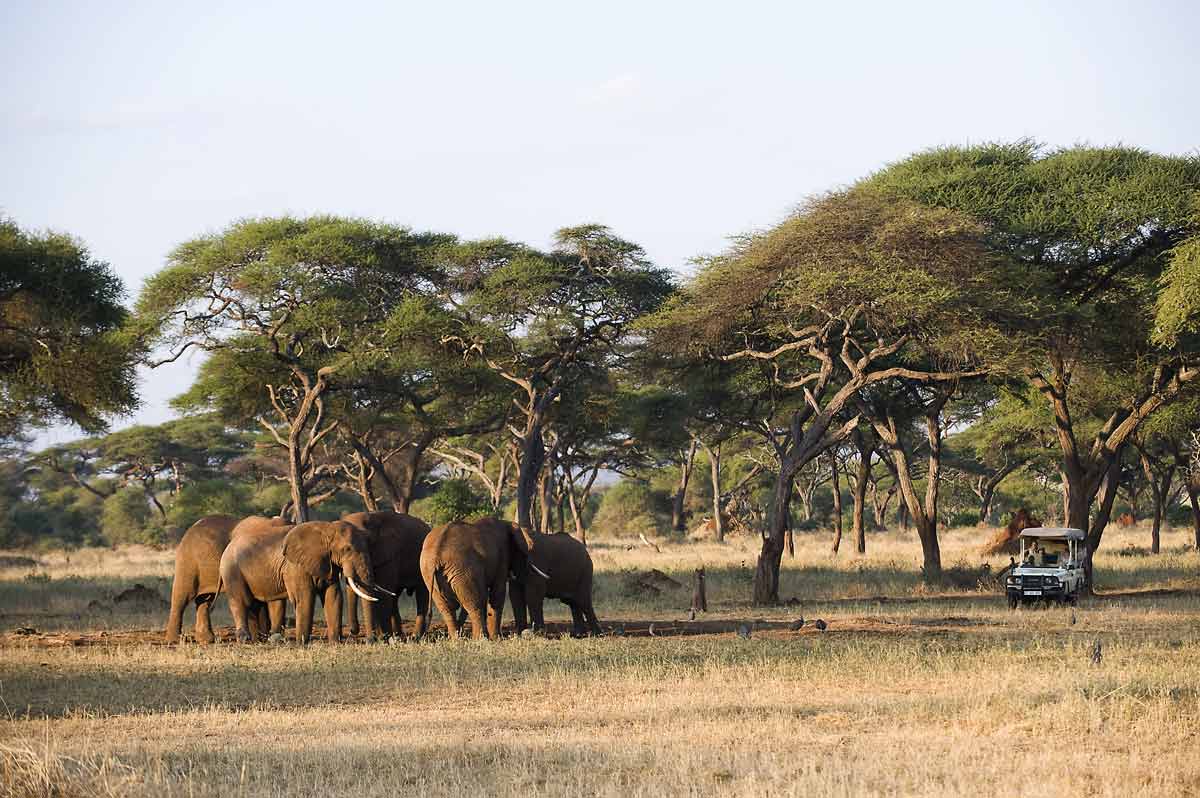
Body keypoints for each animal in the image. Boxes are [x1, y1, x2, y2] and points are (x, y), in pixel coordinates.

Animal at [217, 516, 384, 643]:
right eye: (347, 549)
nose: (371, 641)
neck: (327, 529)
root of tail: (227, 547)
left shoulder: (327, 563)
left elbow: (333, 596)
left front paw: (335, 643)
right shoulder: (295, 567)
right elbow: (305, 598)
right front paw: (302, 643)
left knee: (257, 603)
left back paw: (259, 640)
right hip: (232, 571)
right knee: (241, 601)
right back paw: (245, 640)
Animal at [345, 511, 434, 643]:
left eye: (367, 541)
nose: (352, 631)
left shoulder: (389, 555)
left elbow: (383, 594)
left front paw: (383, 639)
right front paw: (382, 638)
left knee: (421, 593)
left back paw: (415, 637)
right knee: (395, 597)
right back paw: (399, 636)